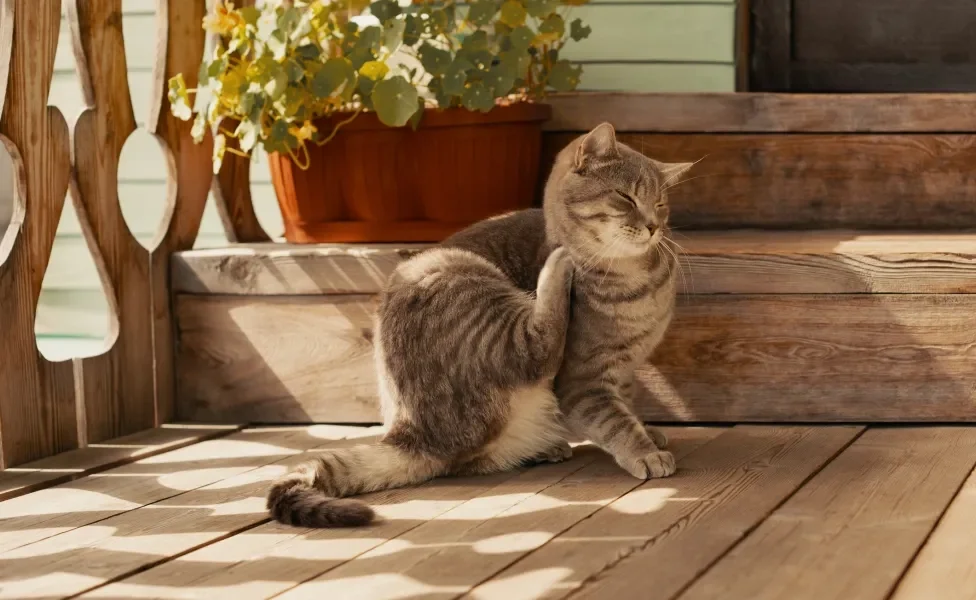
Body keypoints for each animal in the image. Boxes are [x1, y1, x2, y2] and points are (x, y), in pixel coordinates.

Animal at [266, 120, 692, 524]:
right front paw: (645, 452)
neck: (639, 281)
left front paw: (649, 432)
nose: (654, 226)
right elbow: (614, 420)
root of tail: (413, 434)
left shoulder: (625, 370)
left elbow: (627, 406)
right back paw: (557, 267)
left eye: (660, 203)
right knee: (537, 347)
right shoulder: (582, 381)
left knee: (471, 461)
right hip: (459, 278)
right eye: (626, 197)